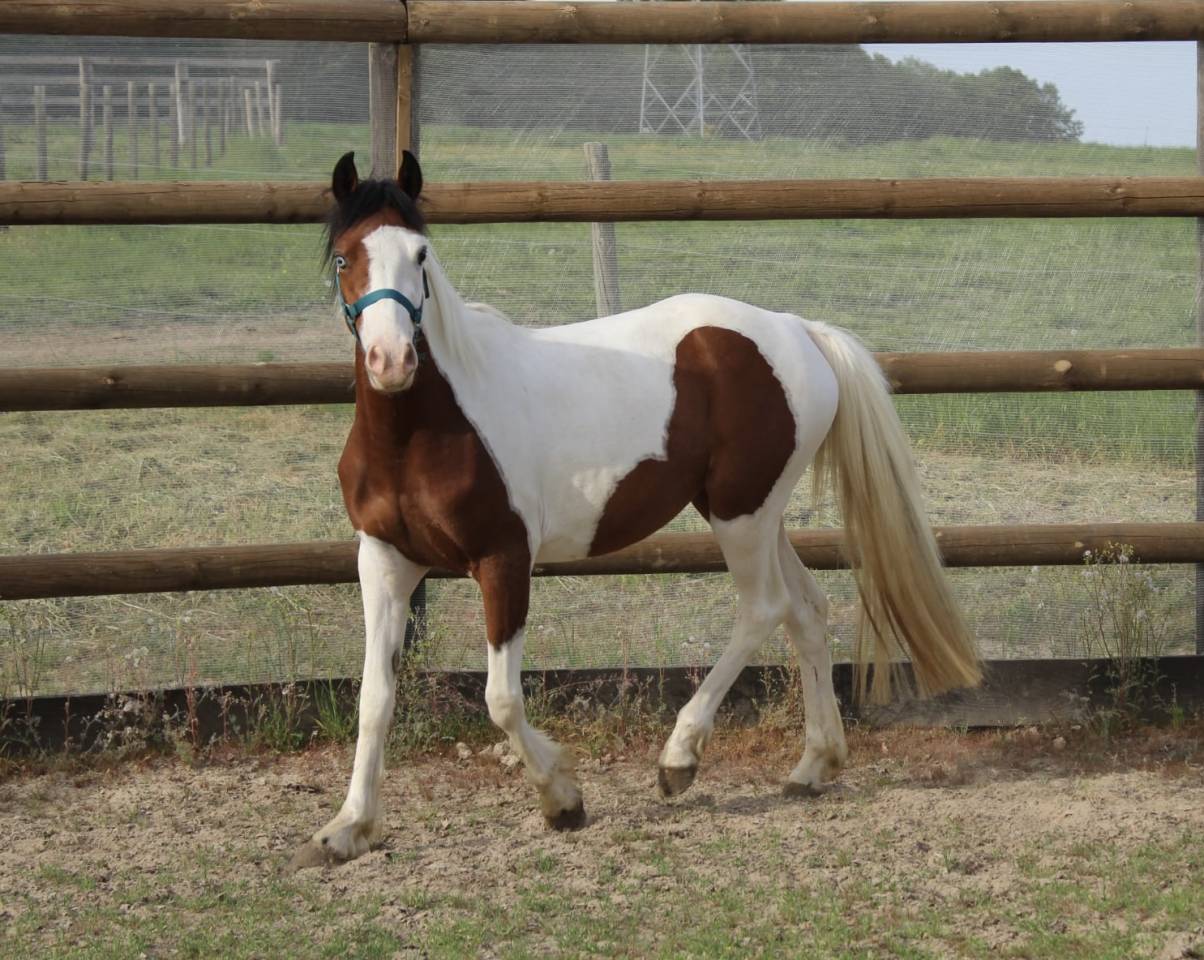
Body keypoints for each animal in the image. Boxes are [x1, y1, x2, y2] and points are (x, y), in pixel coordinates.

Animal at [289, 151, 981, 869]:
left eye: (421, 254)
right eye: (344, 257)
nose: (392, 361)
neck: (426, 428)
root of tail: (799, 332)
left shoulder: (503, 560)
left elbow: (501, 698)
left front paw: (563, 800)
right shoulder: (384, 561)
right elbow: (375, 697)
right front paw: (346, 829)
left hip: (740, 515)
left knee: (764, 608)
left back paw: (680, 760)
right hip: (760, 514)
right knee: (807, 610)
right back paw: (813, 766)